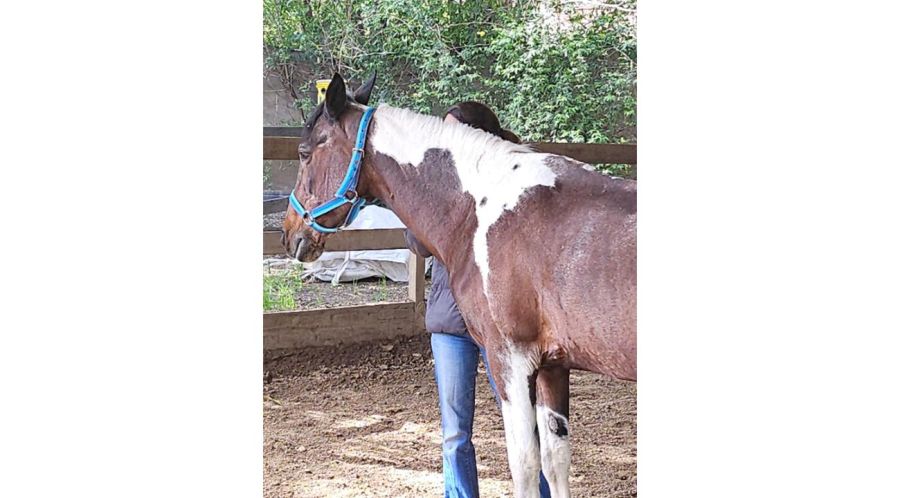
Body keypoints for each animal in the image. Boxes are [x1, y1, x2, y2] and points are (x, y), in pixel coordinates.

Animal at [281, 73, 636, 498]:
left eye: (304, 153)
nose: (289, 233)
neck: (482, 209)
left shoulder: (510, 359)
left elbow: (525, 463)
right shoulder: (553, 365)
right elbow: (556, 460)